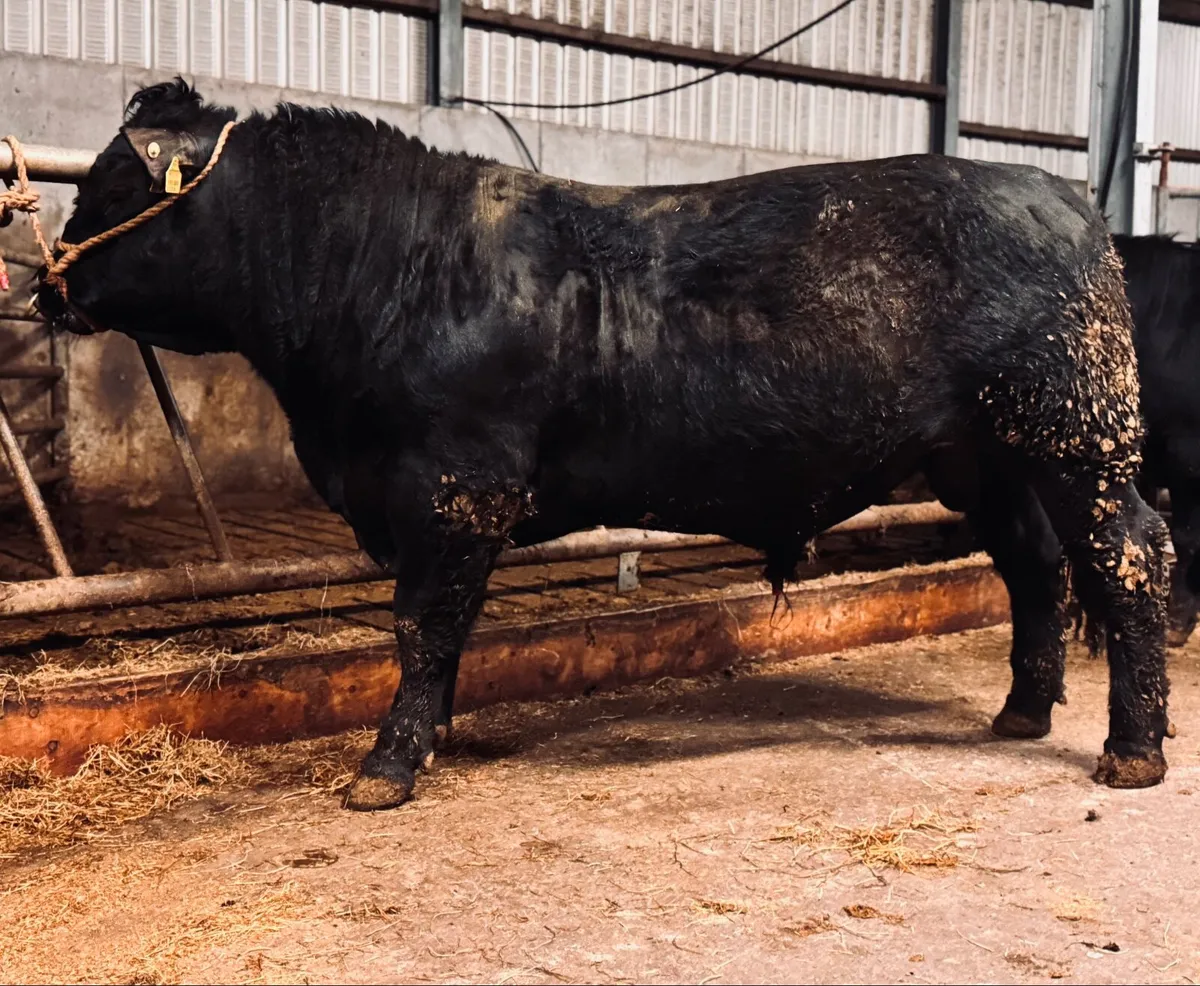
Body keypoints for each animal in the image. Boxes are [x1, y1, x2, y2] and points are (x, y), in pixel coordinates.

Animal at [38, 80, 1171, 810]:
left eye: (115, 190)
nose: (46, 283)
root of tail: (1060, 194)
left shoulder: (455, 486)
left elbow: (422, 625)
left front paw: (388, 766)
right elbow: (440, 631)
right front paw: (432, 735)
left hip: (1077, 439)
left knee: (1128, 559)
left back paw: (1132, 749)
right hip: (991, 457)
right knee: (1036, 568)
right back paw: (1022, 711)